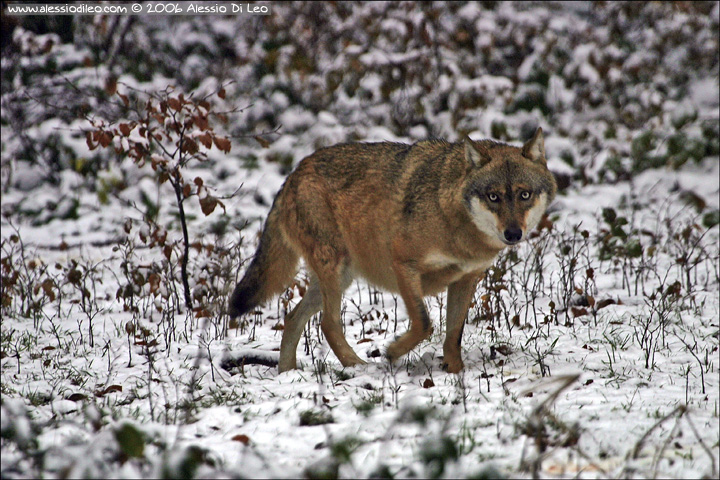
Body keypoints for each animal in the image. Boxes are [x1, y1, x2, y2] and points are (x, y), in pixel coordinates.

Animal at [231, 128, 556, 376]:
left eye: (524, 195)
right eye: (493, 197)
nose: (513, 234)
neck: (454, 222)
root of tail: (294, 173)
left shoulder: (466, 279)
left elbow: (453, 334)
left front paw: (456, 373)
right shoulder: (403, 265)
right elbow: (424, 323)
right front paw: (392, 352)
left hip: (338, 277)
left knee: (292, 318)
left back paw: (287, 373)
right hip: (335, 270)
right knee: (328, 324)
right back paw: (357, 367)